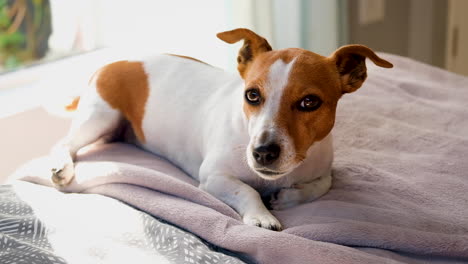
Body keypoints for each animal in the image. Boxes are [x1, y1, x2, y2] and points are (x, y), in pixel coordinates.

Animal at [50, 28, 392, 230]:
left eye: (310, 102)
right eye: (251, 95)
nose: (263, 152)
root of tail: (114, 61)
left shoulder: (323, 169)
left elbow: (322, 185)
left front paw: (286, 198)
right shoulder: (214, 177)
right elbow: (247, 190)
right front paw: (262, 216)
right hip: (99, 117)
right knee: (64, 143)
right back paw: (61, 167)